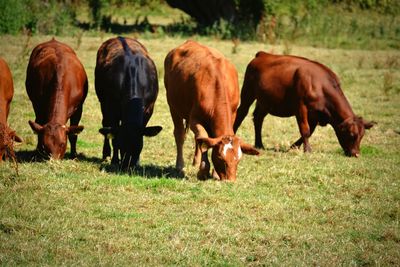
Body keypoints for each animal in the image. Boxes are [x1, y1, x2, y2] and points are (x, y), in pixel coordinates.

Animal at [94, 37, 162, 170]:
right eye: (122, 146)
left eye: (138, 147)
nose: (127, 166)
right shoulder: (112, 108)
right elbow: (114, 135)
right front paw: (115, 160)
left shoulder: (149, 109)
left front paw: (137, 162)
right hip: (102, 102)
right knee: (105, 125)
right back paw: (106, 154)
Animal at [163, 40, 260, 182]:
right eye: (220, 158)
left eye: (238, 160)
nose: (230, 181)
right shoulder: (195, 119)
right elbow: (203, 137)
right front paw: (203, 170)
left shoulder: (233, 114)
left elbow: (204, 140)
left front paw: (213, 172)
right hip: (173, 107)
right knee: (180, 134)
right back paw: (180, 165)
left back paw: (195, 161)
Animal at [233, 52, 374, 157]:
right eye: (351, 135)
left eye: (362, 136)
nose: (356, 154)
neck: (320, 86)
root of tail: (263, 54)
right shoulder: (301, 107)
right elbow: (305, 129)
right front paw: (307, 150)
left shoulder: (315, 115)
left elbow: (309, 131)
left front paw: (293, 147)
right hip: (248, 92)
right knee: (241, 113)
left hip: (265, 102)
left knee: (258, 118)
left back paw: (259, 144)